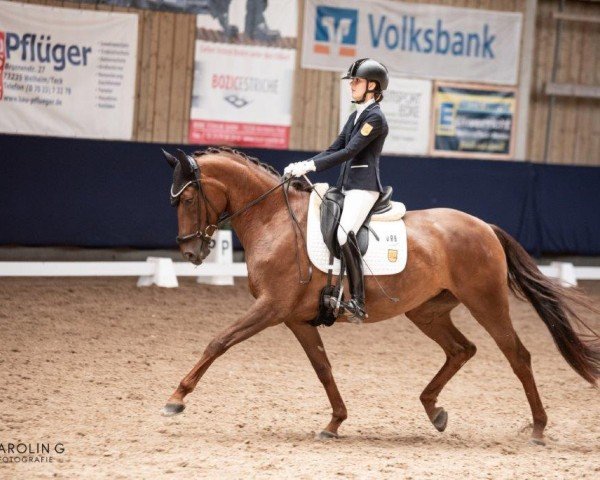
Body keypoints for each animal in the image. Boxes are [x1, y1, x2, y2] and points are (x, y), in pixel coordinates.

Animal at [162, 147, 596, 446]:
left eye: (187, 199)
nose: (190, 252)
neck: (274, 219)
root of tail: (484, 226)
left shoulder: (271, 307)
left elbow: (219, 341)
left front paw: (176, 399)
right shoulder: (296, 318)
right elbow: (323, 368)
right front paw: (334, 422)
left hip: (486, 302)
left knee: (517, 356)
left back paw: (538, 428)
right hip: (427, 311)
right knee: (461, 349)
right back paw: (434, 411)